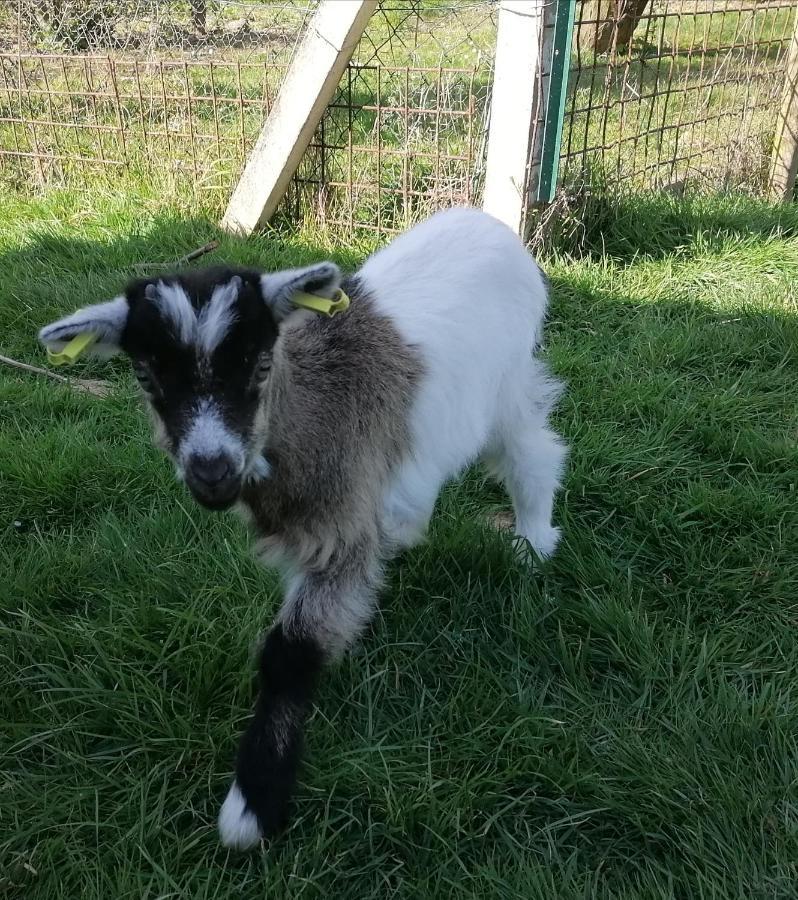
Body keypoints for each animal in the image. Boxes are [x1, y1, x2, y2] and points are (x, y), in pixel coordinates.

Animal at [39, 207, 568, 848]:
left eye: (262, 363)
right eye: (144, 375)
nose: (212, 471)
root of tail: (487, 223)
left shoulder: (337, 531)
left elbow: (289, 651)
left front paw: (253, 804)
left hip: (507, 385)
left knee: (532, 453)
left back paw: (532, 543)